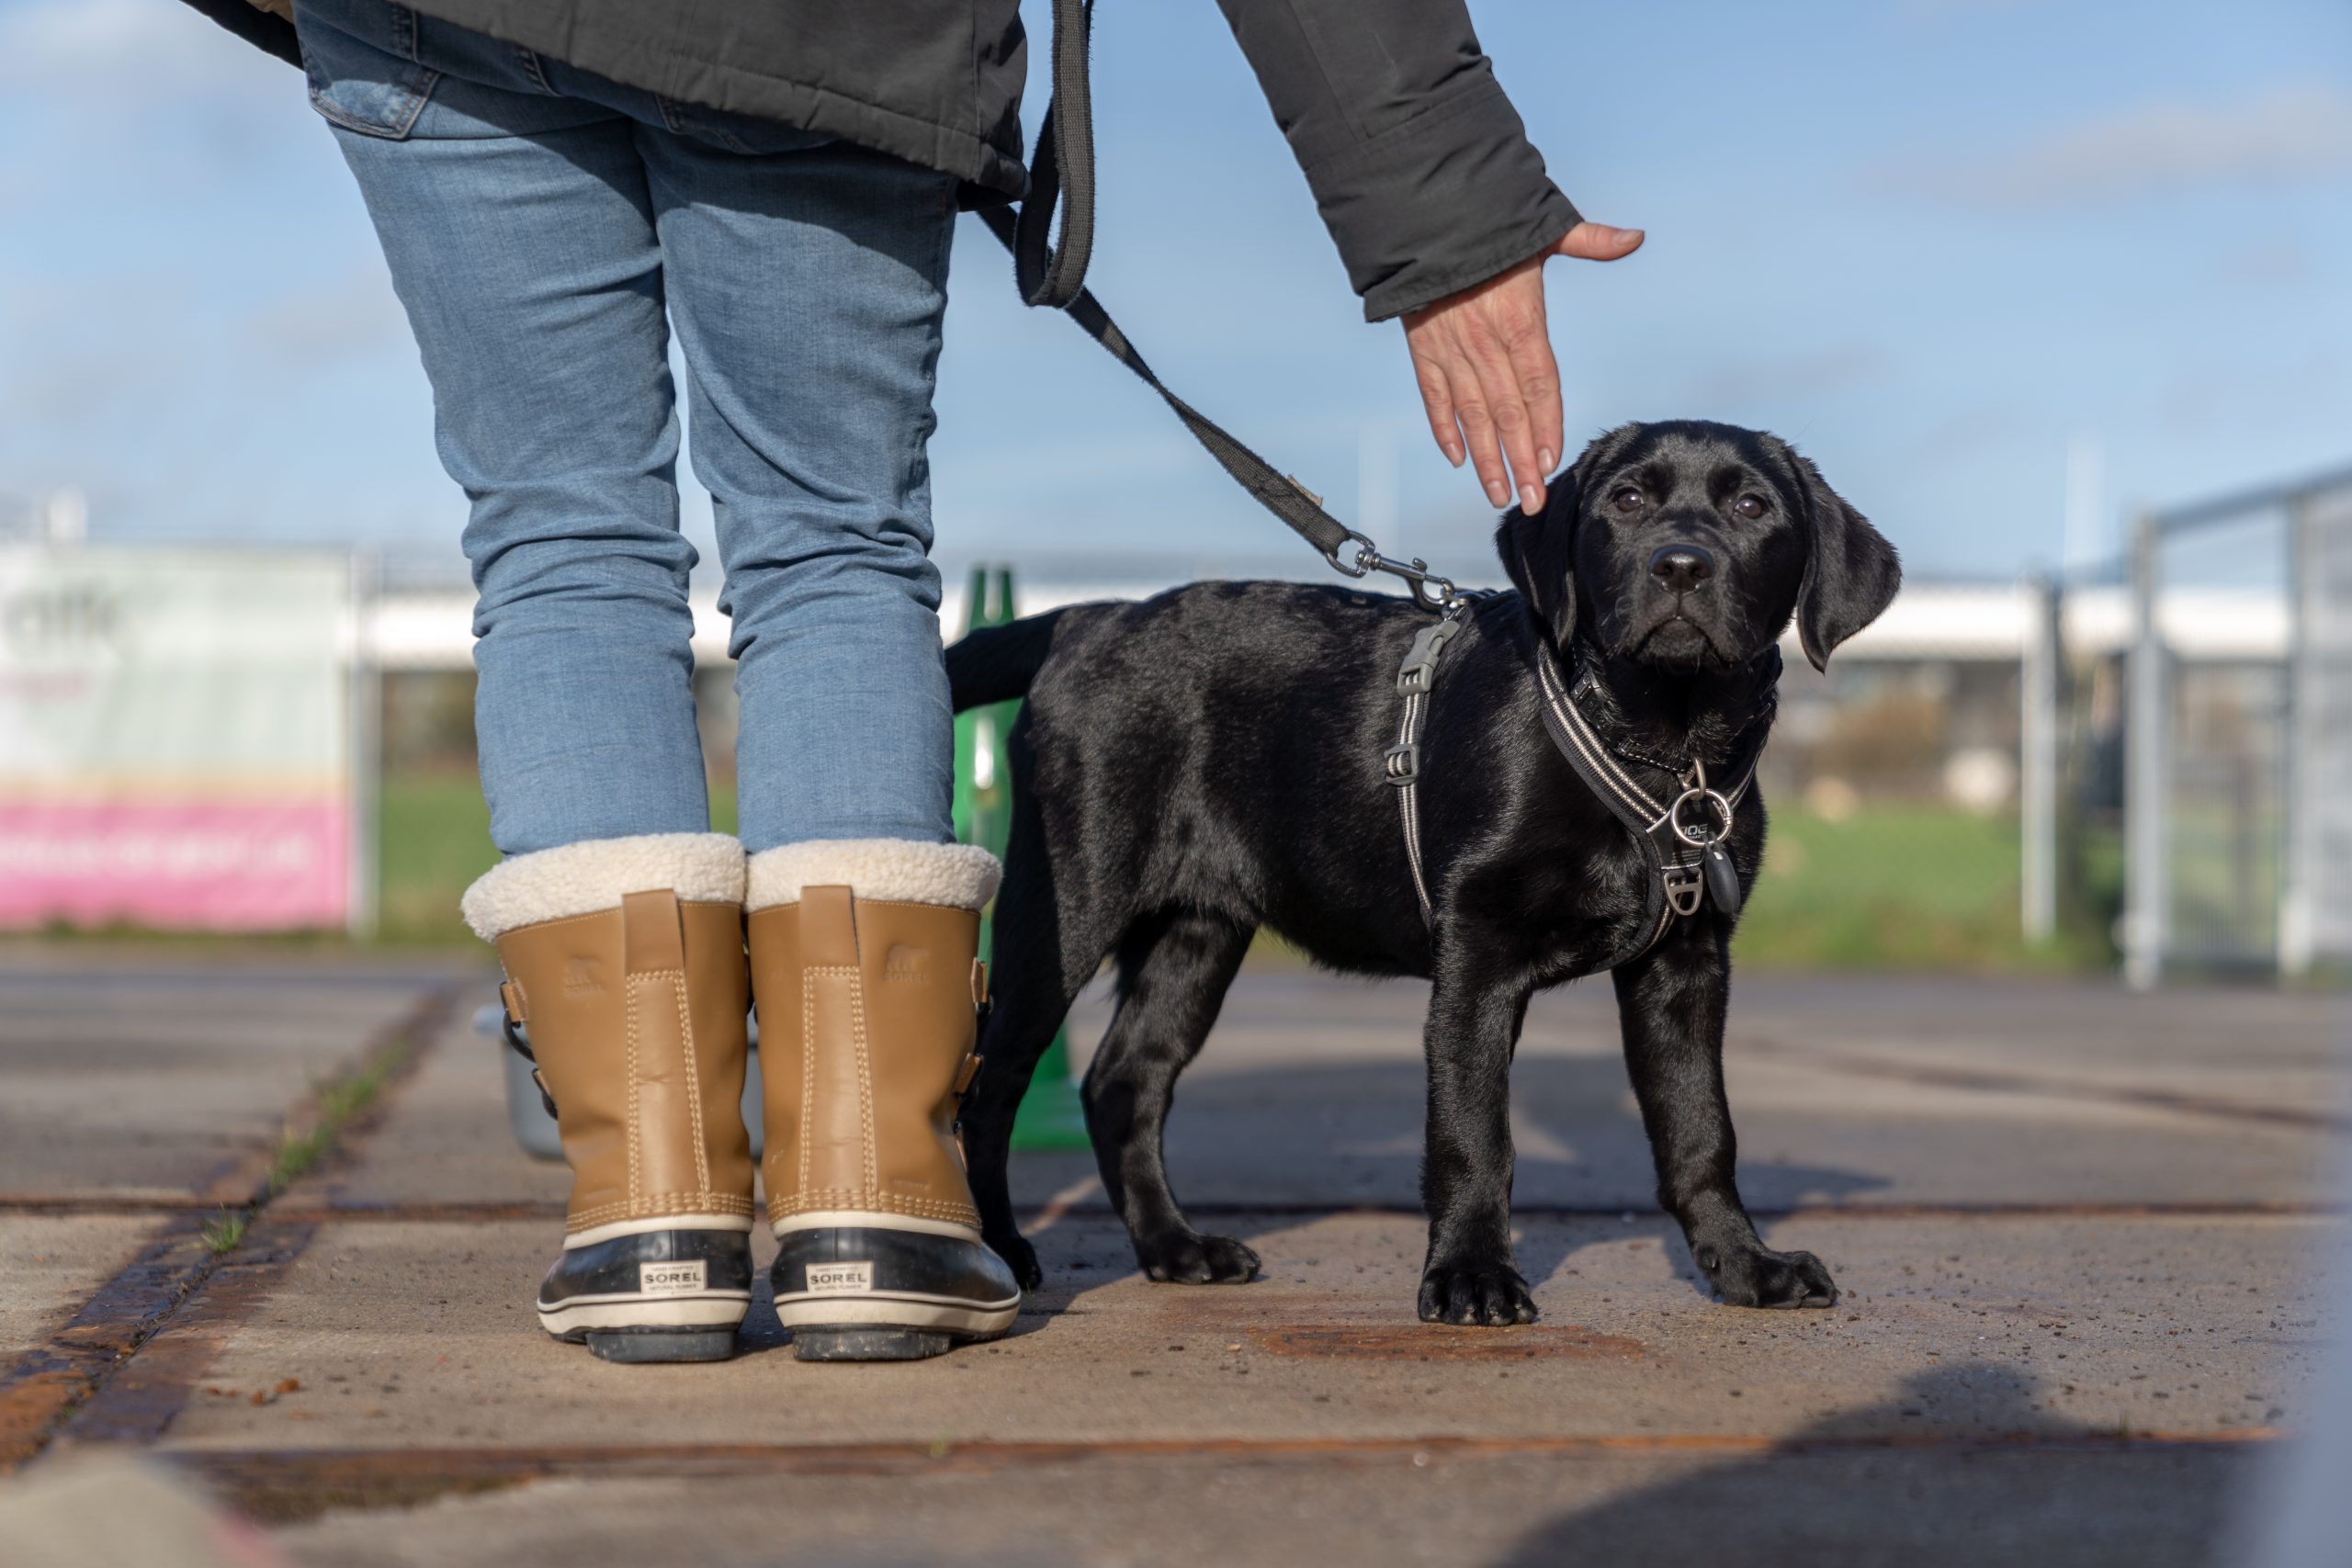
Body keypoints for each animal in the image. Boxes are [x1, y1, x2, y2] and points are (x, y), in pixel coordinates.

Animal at [945, 421, 1900, 1325]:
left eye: (1751, 507)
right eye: (1627, 499)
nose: (1681, 565)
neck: (1661, 742)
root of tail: (1090, 618)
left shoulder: (1686, 966)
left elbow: (1702, 1130)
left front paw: (1745, 1265)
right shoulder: (1477, 956)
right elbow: (1474, 1135)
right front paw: (1472, 1277)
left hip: (1197, 931)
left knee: (1124, 1080)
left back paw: (1176, 1247)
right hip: (1067, 901)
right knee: (990, 1081)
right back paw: (1003, 1247)